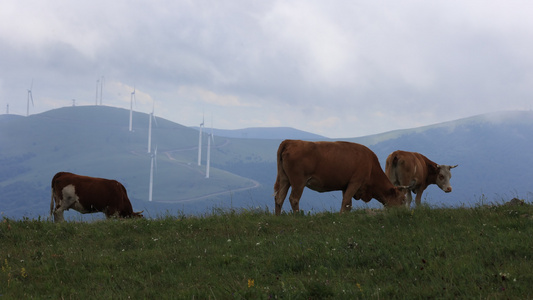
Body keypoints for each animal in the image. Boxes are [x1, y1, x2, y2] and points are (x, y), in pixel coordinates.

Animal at [272, 139, 410, 214]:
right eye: (402, 200)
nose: (404, 211)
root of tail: (290, 141)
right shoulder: (355, 182)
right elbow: (346, 202)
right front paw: (341, 215)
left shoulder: (346, 186)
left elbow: (348, 204)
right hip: (298, 181)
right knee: (293, 198)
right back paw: (298, 216)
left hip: (284, 179)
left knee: (279, 198)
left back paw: (278, 216)